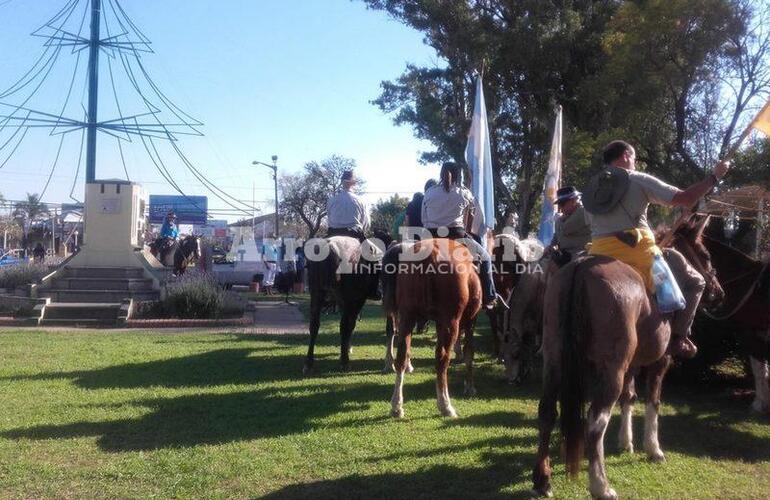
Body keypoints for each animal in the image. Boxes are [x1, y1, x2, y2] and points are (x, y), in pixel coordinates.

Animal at [302, 235, 382, 376]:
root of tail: (329, 247)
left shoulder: (342, 302)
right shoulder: (356, 300)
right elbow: (350, 325)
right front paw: (345, 351)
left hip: (316, 296)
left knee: (314, 325)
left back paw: (309, 363)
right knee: (344, 325)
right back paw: (345, 362)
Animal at [384, 238, 480, 418]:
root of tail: (431, 253)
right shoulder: (471, 320)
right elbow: (469, 353)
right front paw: (470, 386)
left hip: (407, 316)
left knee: (401, 356)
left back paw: (396, 405)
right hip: (450, 322)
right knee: (441, 359)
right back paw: (445, 405)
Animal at [532, 217, 724, 498]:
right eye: (707, 256)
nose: (719, 293)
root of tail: (580, 269)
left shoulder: (632, 364)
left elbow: (629, 397)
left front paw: (626, 441)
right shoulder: (660, 361)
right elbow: (653, 401)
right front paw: (653, 448)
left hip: (555, 361)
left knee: (547, 411)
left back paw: (542, 479)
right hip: (611, 370)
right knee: (595, 422)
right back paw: (600, 485)